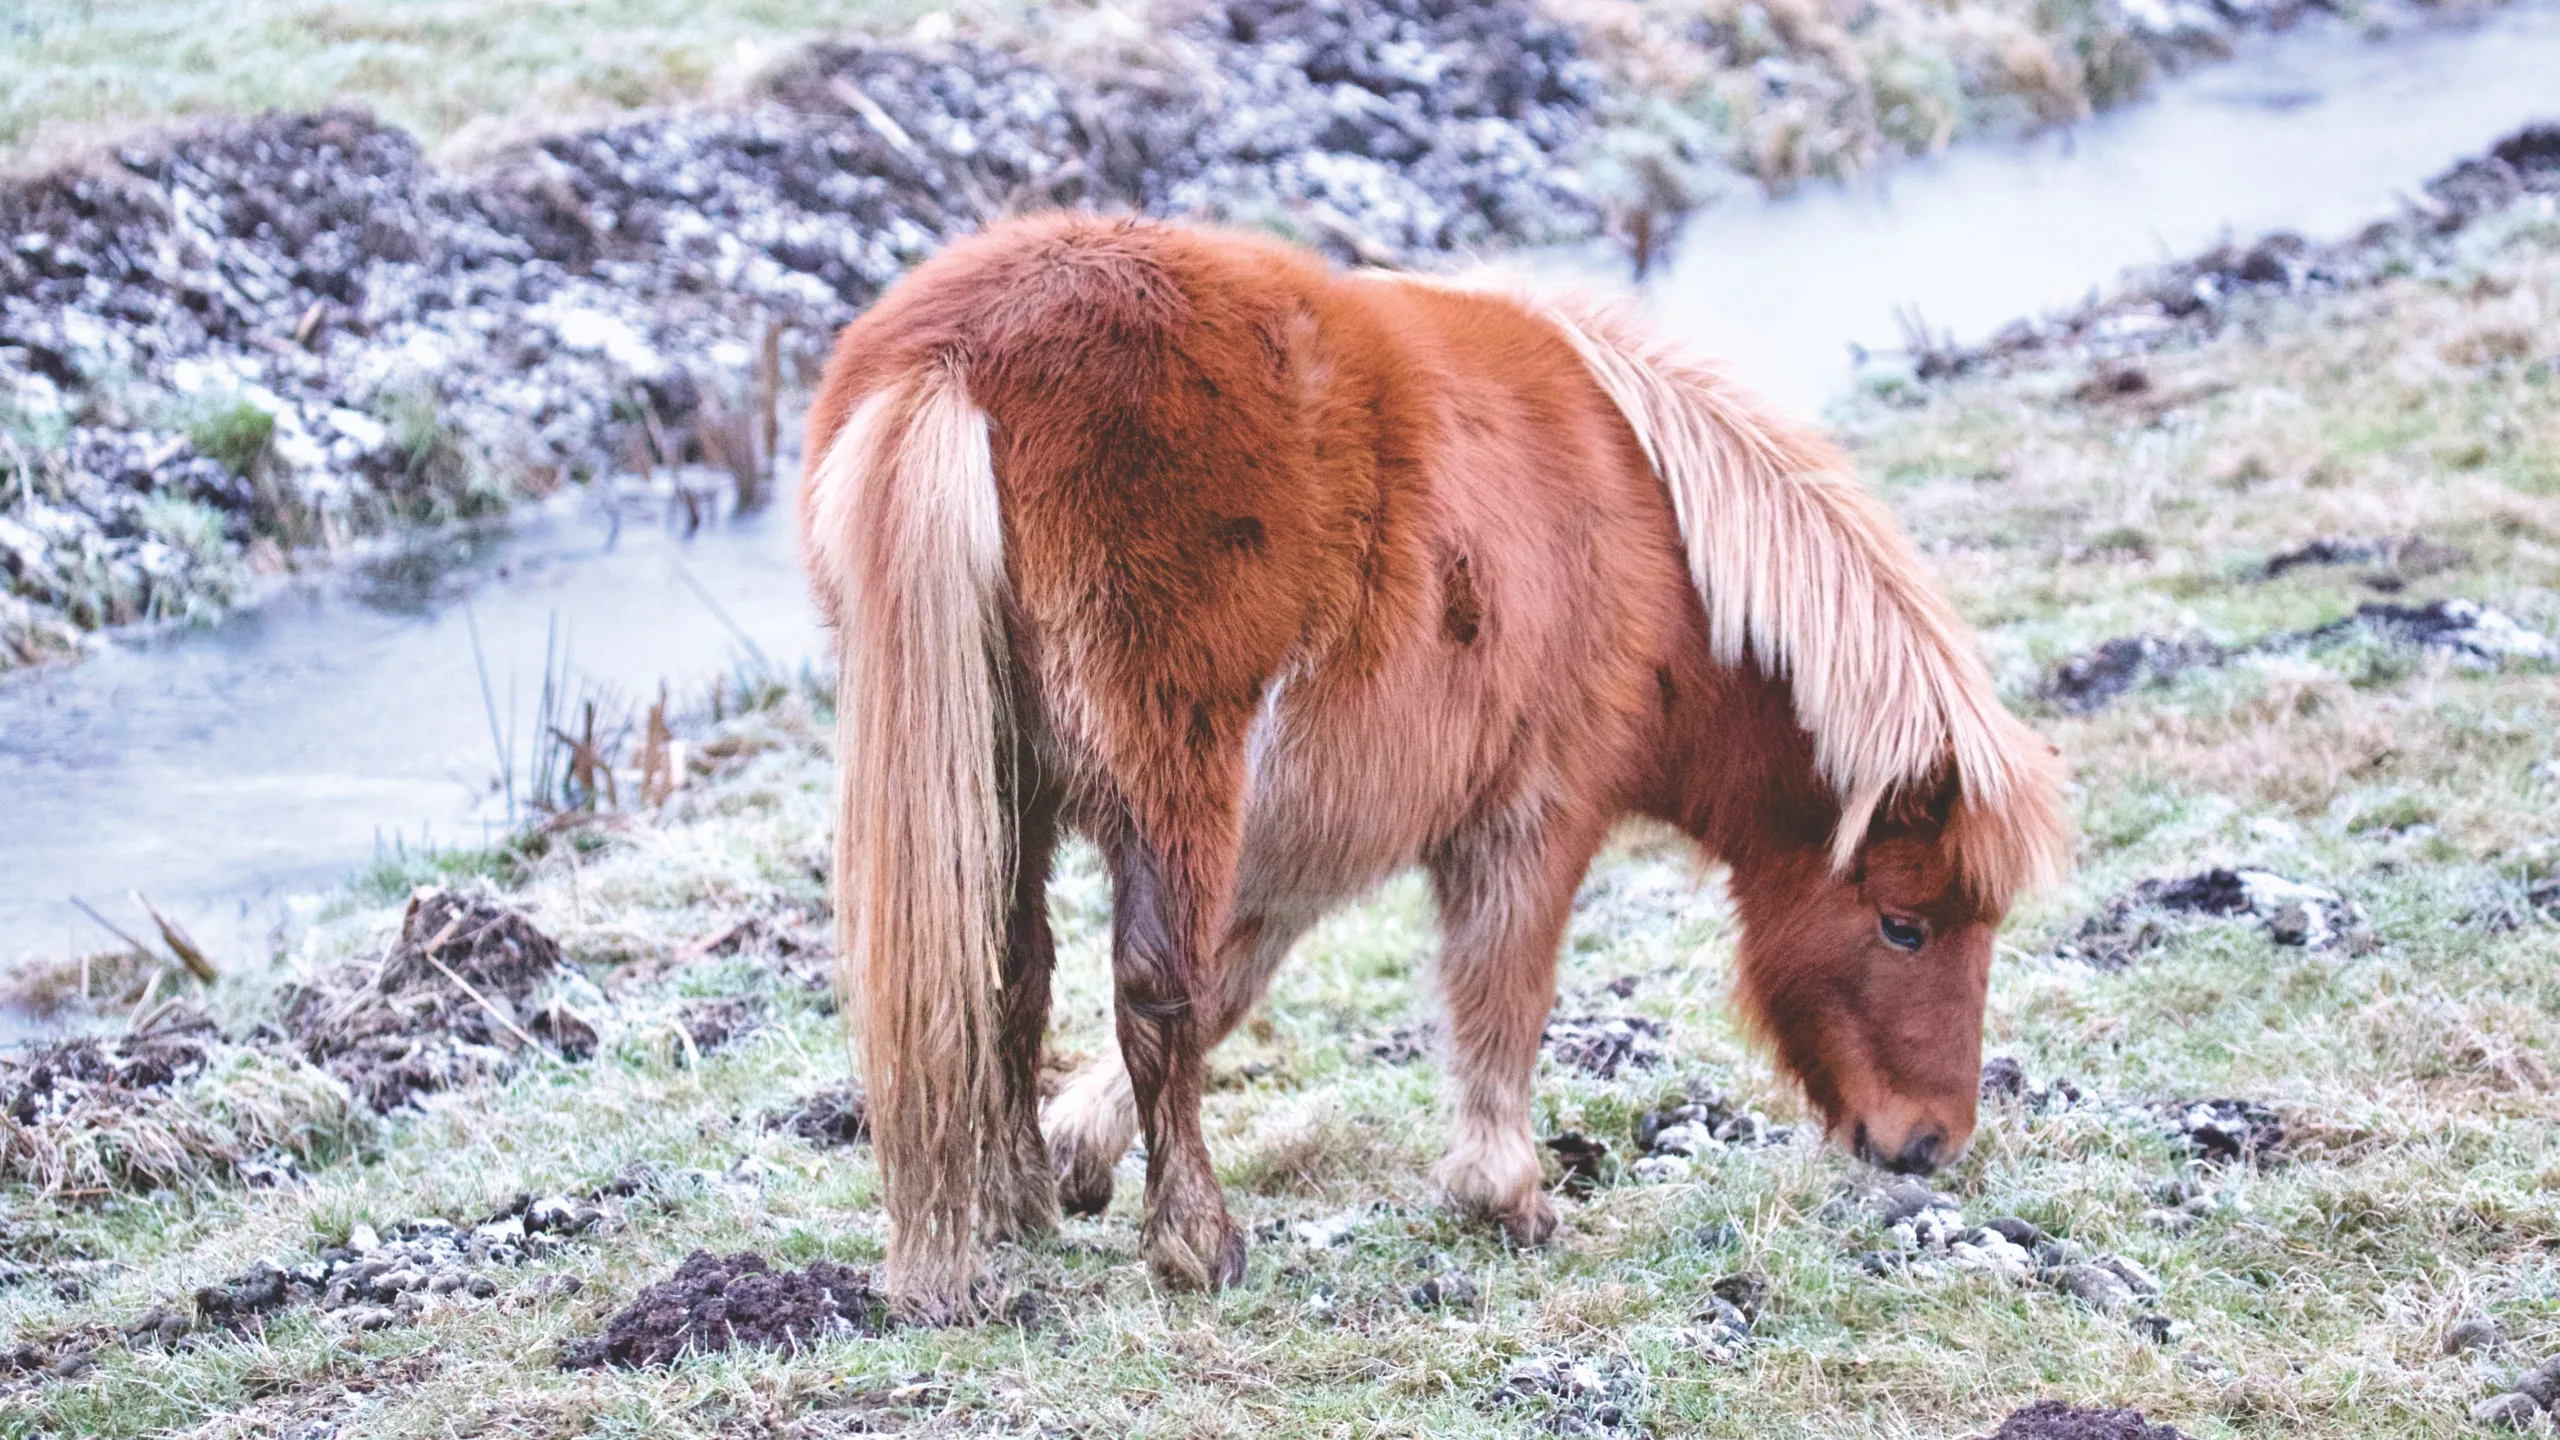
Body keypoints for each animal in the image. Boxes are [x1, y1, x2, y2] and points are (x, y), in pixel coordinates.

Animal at [788, 207, 2068, 1322]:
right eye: (1905, 925)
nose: (1927, 1143)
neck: (1654, 542)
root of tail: (958, 359)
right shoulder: (1529, 819)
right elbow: (1497, 990)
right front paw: (1505, 1197)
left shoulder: (1301, 836)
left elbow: (1233, 979)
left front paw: (1074, 1152)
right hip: (1170, 781)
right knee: (1149, 991)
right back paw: (1196, 1245)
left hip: (1006, 787)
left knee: (1008, 978)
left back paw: (1015, 1209)